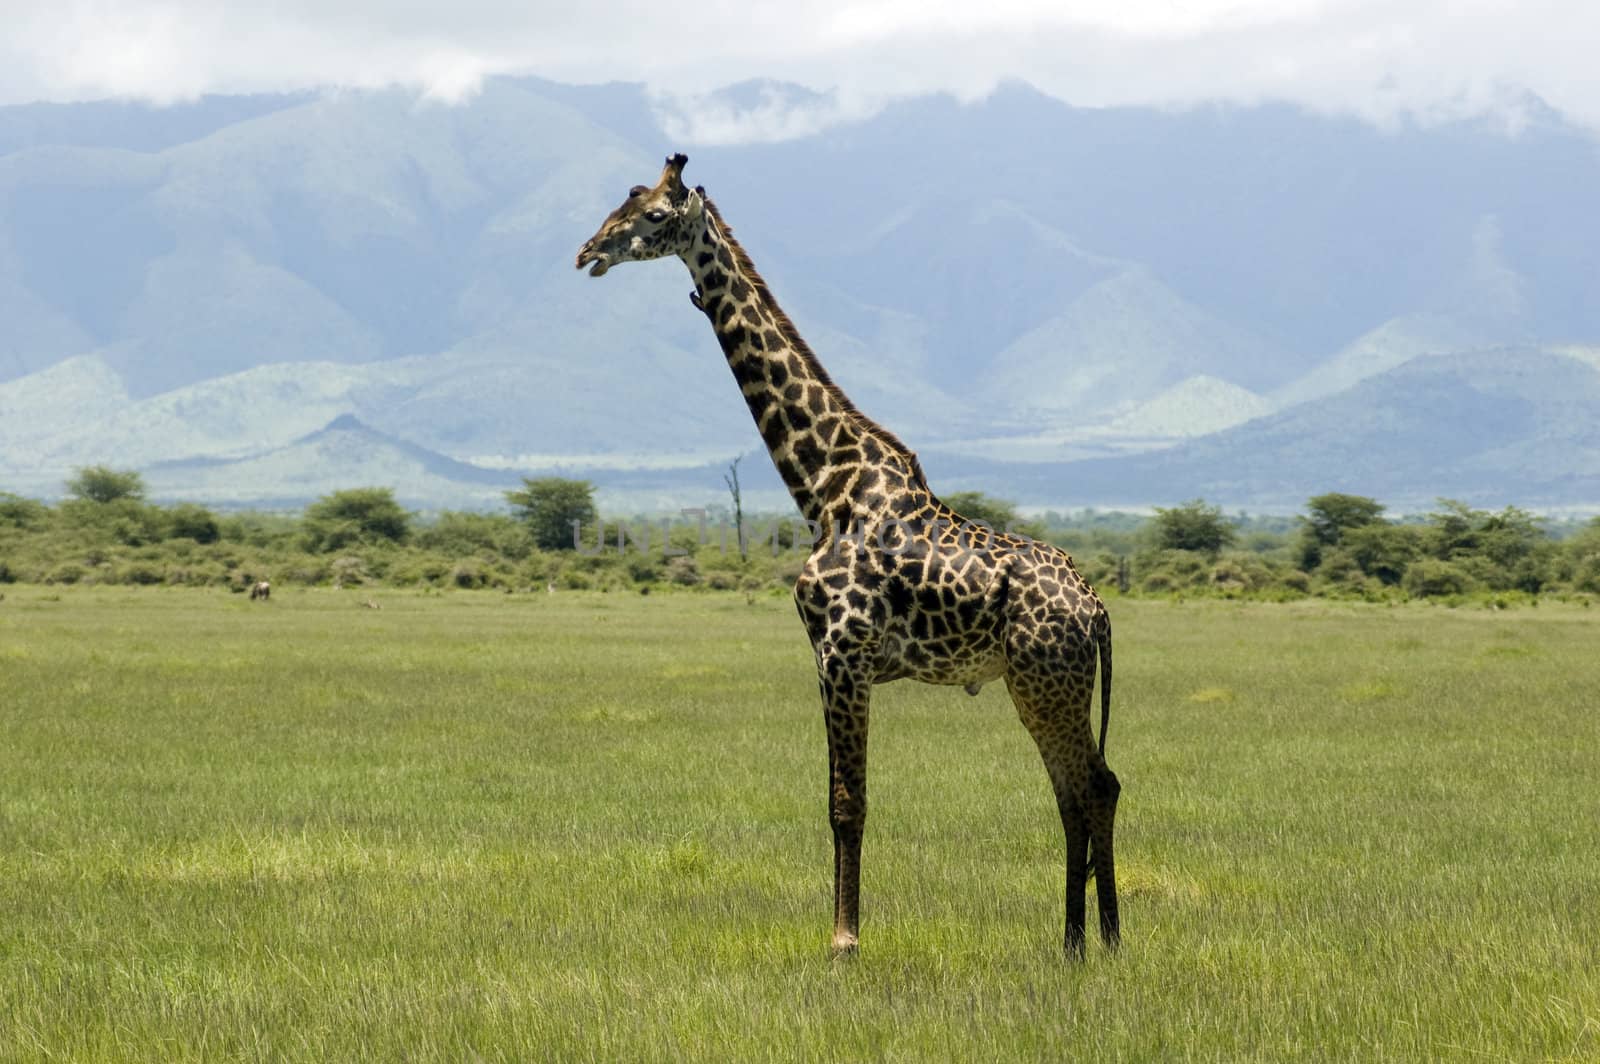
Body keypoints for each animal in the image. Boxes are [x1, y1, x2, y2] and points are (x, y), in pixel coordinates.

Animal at [582, 151, 1120, 953]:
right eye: (622, 201)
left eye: (650, 214)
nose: (588, 251)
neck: (822, 485)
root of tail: (1098, 613)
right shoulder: (832, 659)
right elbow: (841, 800)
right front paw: (845, 933)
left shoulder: (841, 654)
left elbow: (846, 804)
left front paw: (844, 941)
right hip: (1047, 684)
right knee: (1088, 788)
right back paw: (1091, 940)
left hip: (1044, 682)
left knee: (1085, 789)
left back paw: (1090, 941)